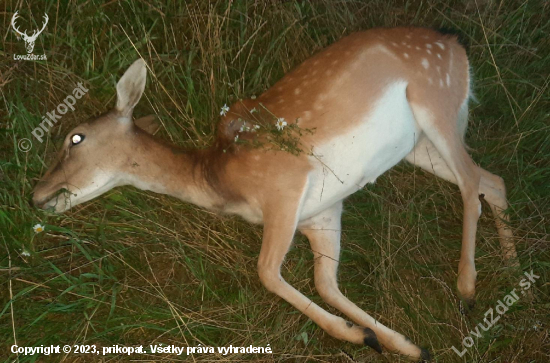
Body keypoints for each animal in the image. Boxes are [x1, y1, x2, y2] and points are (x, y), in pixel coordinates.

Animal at [32, 27, 520, 362]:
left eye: (75, 137)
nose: (37, 195)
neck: (219, 179)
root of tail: (454, 41)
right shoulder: (321, 215)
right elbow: (326, 284)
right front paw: (395, 342)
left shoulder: (286, 185)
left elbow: (267, 273)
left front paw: (364, 336)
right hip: (420, 144)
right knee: (492, 180)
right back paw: (515, 274)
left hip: (434, 98)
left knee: (472, 184)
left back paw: (468, 287)